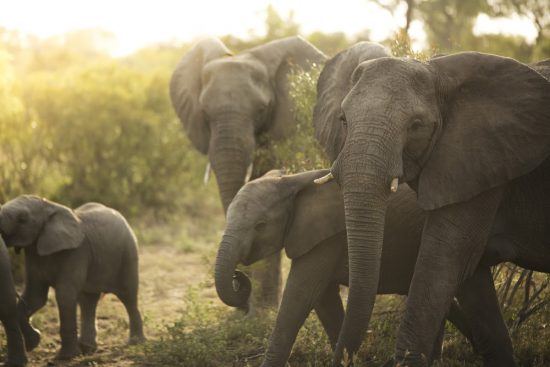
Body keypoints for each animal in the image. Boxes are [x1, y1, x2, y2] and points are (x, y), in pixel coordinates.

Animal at [0, 197, 147, 360]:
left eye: (22, 218)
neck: (49, 205)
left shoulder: (76, 252)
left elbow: (64, 295)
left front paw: (65, 357)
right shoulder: (33, 254)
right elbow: (35, 297)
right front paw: (34, 341)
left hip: (128, 254)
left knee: (128, 297)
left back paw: (135, 343)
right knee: (88, 301)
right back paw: (88, 349)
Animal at [215, 170, 512, 367]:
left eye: (260, 226)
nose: (238, 276)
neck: (291, 180)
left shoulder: (326, 239)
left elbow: (300, 297)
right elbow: (324, 302)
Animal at [312, 43, 550, 367]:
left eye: (416, 126)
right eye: (344, 121)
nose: (344, 357)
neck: (438, 73)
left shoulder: (481, 160)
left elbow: (441, 263)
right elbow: (465, 276)